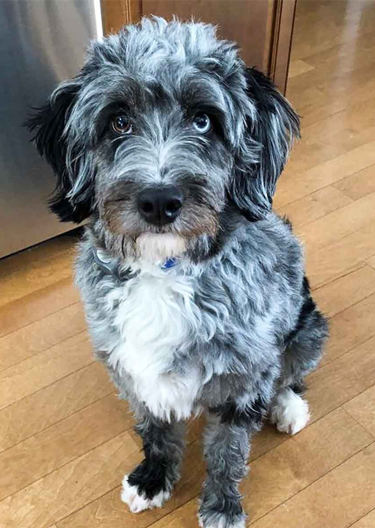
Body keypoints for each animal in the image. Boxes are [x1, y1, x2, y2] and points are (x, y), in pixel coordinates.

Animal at [27, 17, 328, 528]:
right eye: (118, 122)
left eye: (204, 120)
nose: (159, 201)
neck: (165, 268)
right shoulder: (132, 369)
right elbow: (156, 431)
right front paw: (152, 478)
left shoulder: (243, 382)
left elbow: (228, 452)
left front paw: (222, 506)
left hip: (309, 329)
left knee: (289, 374)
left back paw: (288, 406)